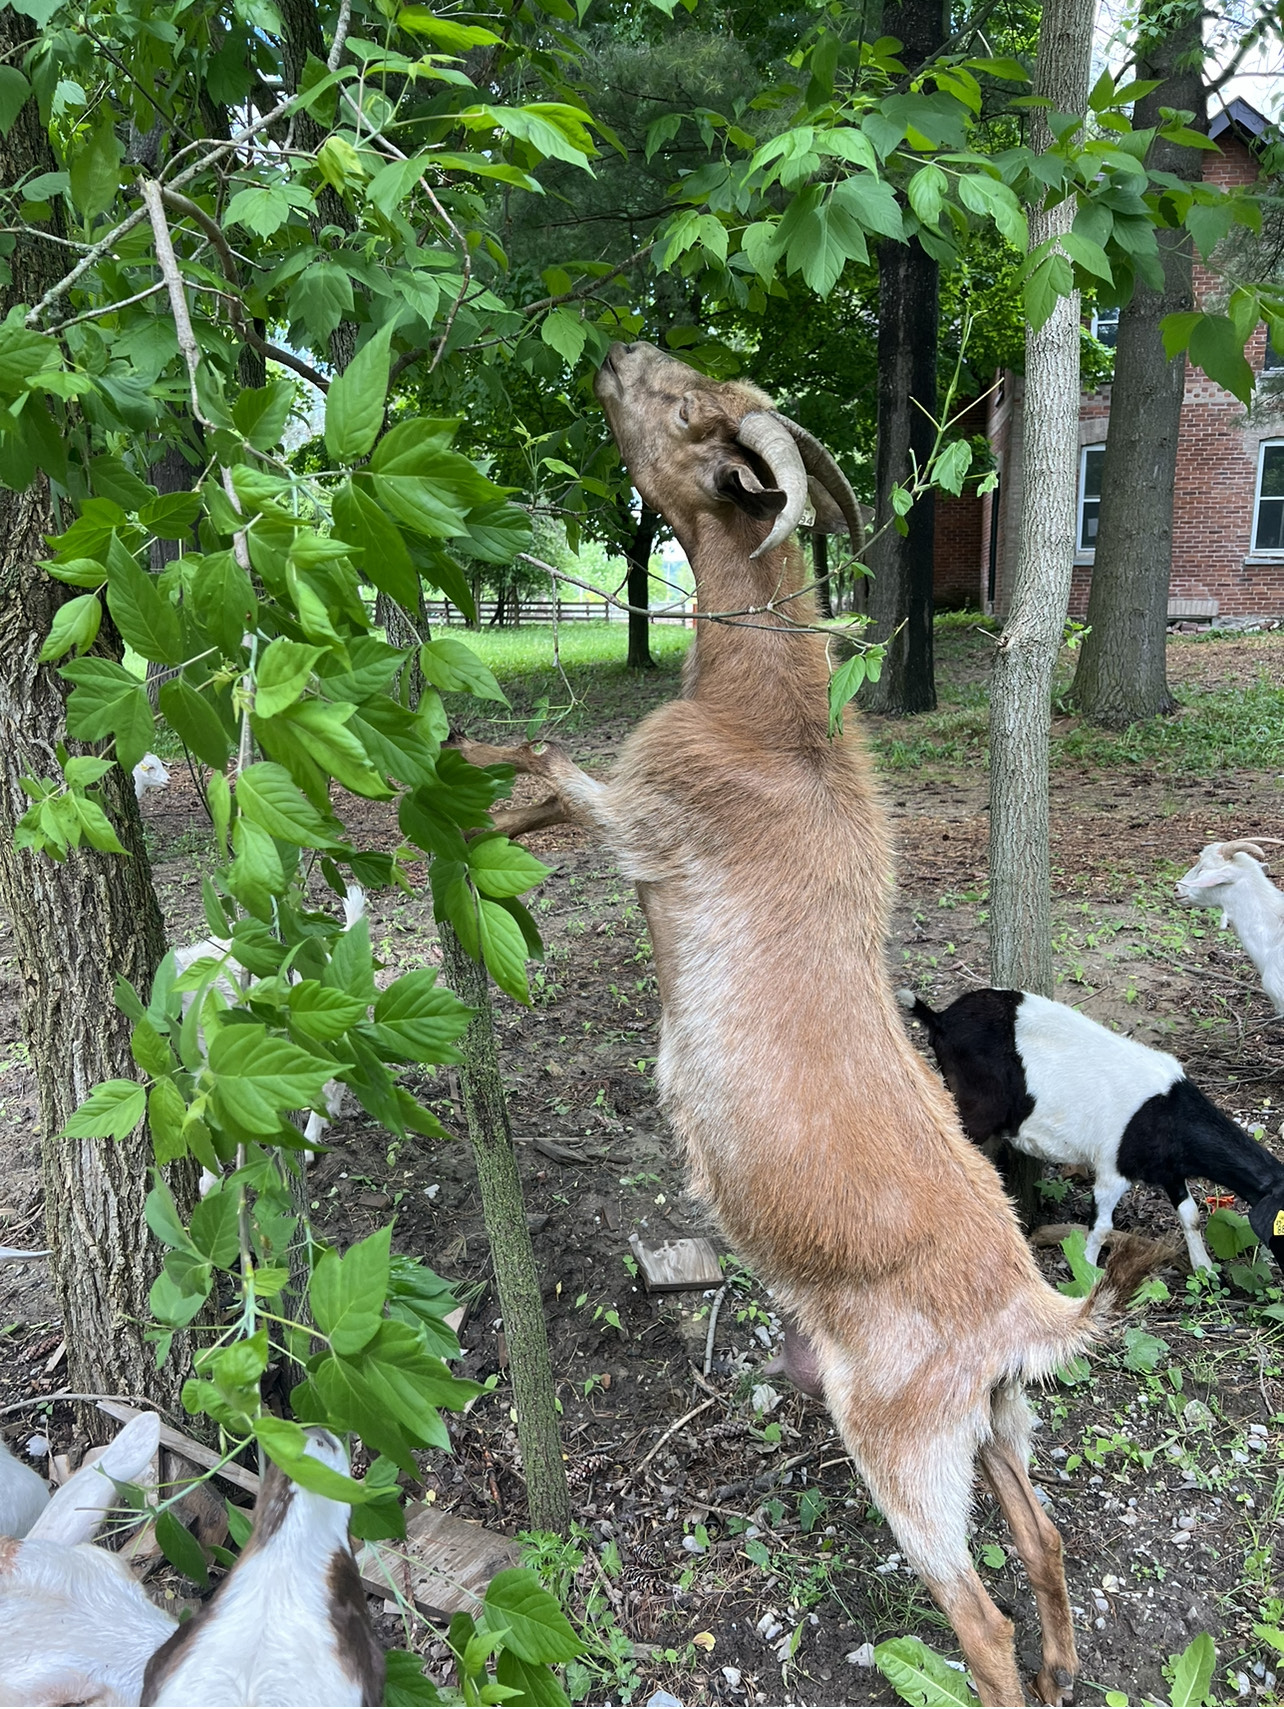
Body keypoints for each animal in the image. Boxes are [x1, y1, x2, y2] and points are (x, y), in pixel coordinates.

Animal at [449, 340, 1167, 1707]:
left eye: (690, 411)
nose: (614, 352)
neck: (769, 714)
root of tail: (1029, 1313)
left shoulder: (646, 818)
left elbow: (550, 766)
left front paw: (462, 779)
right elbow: (545, 792)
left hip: (903, 1446)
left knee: (980, 1619)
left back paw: (1006, 1666)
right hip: (996, 1419)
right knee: (1045, 1538)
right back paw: (1064, 1663)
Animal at [900, 987, 1284, 1275]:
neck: (1168, 1110)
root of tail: (940, 1019)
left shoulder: (1169, 1167)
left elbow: (1190, 1215)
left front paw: (1203, 1268)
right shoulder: (1113, 1170)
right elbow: (1101, 1227)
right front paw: (1086, 1271)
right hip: (972, 1105)